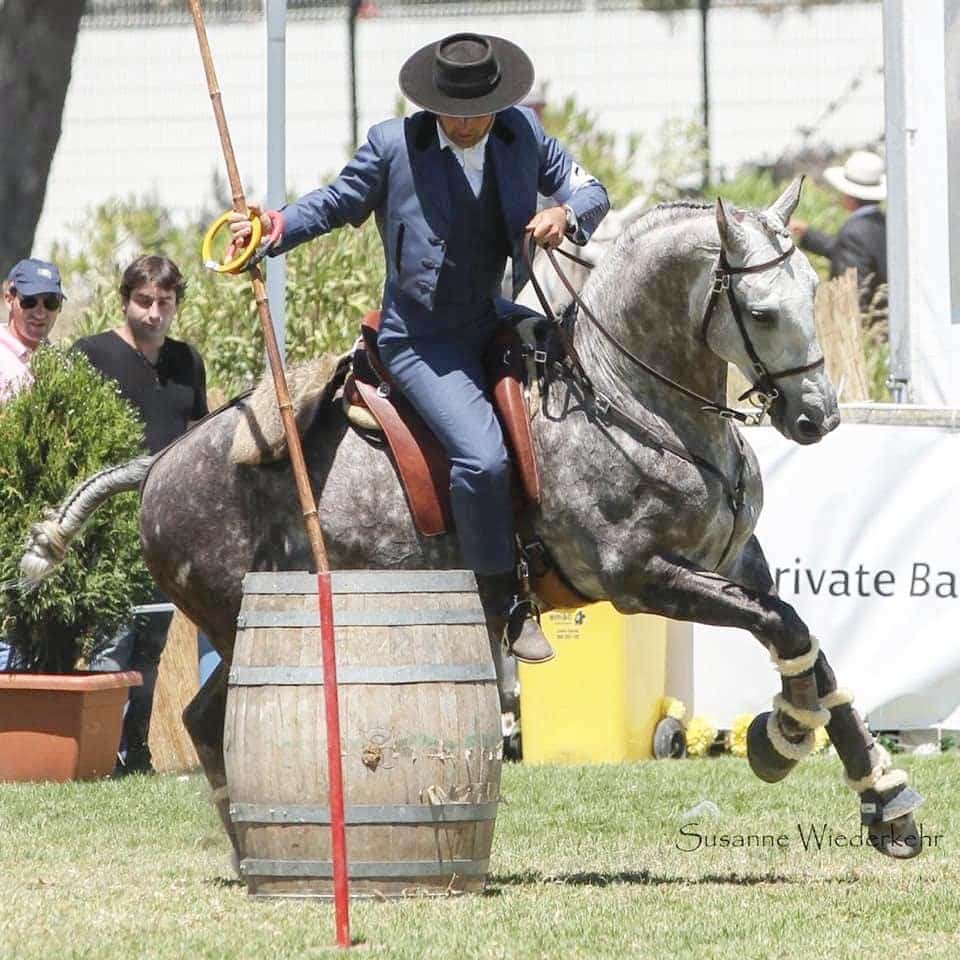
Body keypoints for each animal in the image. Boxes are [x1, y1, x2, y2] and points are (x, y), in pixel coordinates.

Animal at [20, 176, 924, 860]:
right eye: (761, 312)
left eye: (812, 290)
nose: (817, 416)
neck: (636, 403)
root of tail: (164, 461)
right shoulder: (642, 579)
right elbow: (783, 627)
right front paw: (785, 735)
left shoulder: (735, 561)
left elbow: (808, 641)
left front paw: (873, 789)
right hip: (244, 622)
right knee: (207, 722)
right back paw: (261, 849)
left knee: (204, 723)